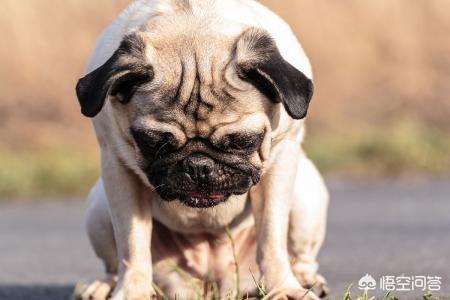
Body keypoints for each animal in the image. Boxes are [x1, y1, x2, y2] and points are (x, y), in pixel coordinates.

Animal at [73, 0, 326, 300]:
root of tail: (213, 283)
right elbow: (132, 244)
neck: (194, 24)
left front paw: (283, 288)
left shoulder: (282, 162)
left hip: (305, 197)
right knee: (115, 264)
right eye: (154, 143)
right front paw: (131, 291)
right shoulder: (117, 168)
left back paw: (307, 281)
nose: (198, 165)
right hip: (99, 208)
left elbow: (272, 238)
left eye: (242, 142)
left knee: (300, 256)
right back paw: (105, 286)